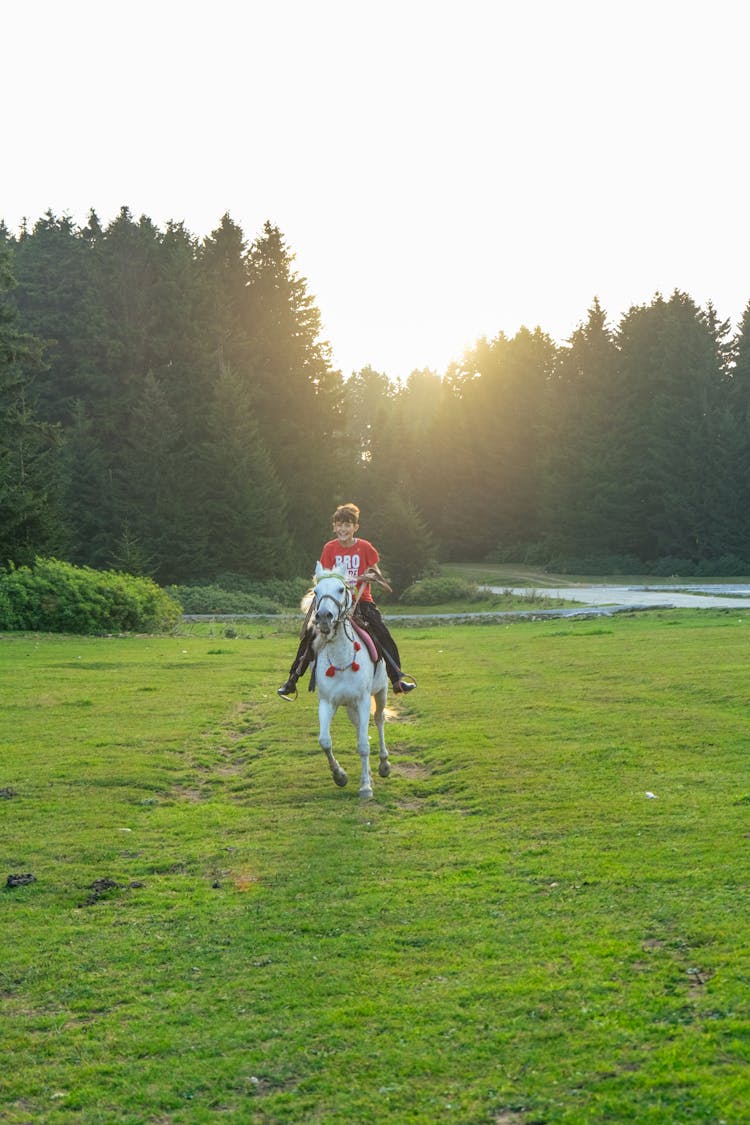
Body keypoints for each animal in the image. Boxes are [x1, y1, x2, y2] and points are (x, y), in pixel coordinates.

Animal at [305, 562, 391, 801]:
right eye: (316, 592)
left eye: (341, 589)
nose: (324, 617)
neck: (342, 658)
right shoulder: (327, 702)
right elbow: (324, 741)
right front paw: (340, 776)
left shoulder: (363, 700)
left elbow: (363, 745)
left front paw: (365, 788)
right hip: (351, 706)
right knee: (359, 727)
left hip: (381, 692)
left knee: (379, 721)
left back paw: (384, 764)